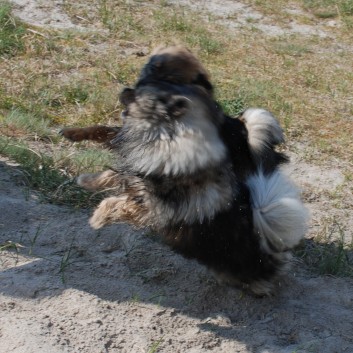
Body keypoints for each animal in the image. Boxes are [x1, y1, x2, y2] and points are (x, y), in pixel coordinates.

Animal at [77, 79, 308, 294]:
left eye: (143, 96)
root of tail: (271, 250)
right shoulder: (138, 182)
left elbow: (115, 203)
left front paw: (97, 219)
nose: (125, 89)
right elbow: (112, 177)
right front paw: (86, 180)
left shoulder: (150, 206)